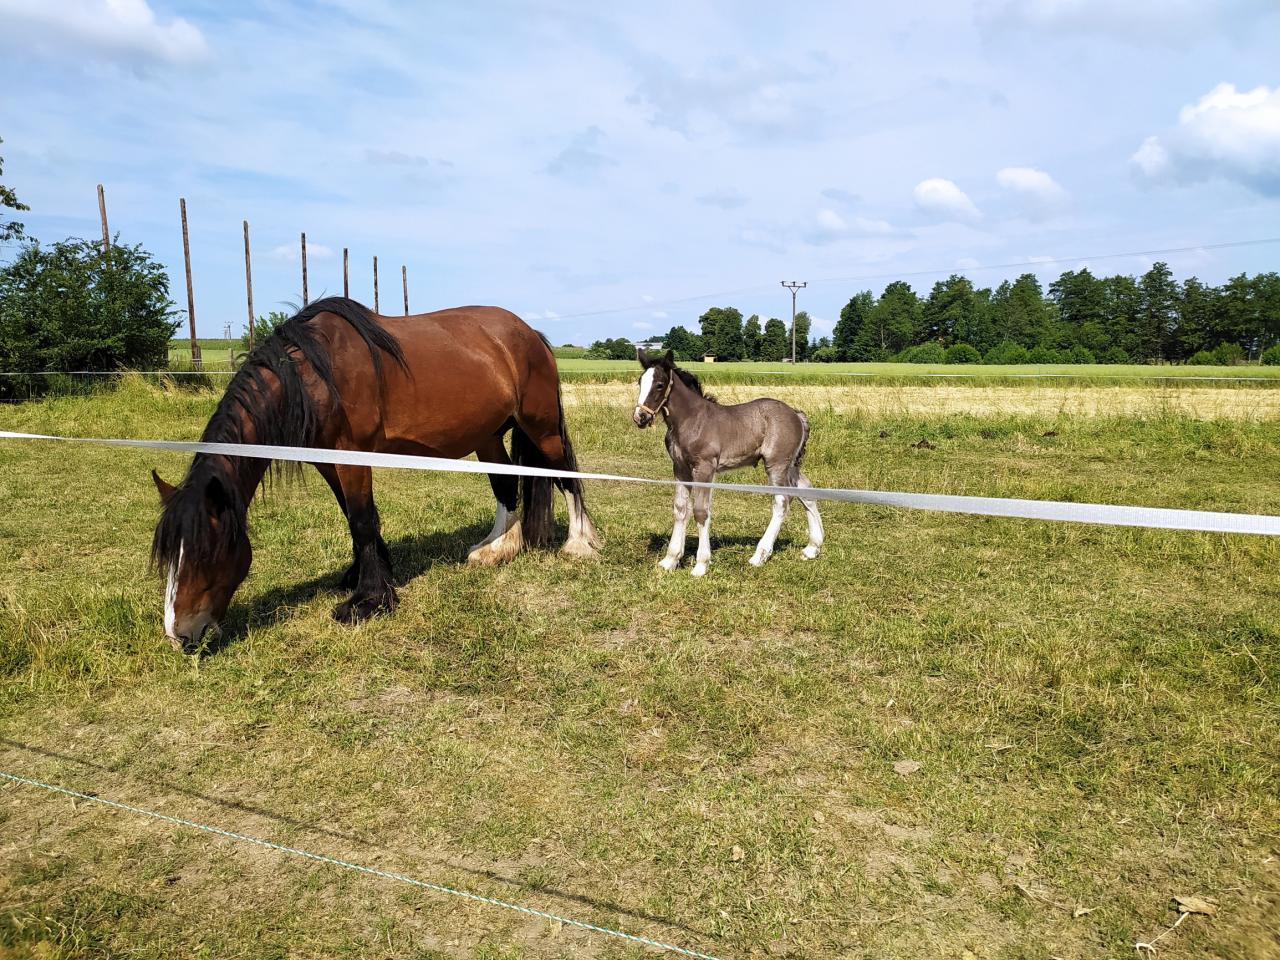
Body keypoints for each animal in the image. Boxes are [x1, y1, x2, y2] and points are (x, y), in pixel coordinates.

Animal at [152, 296, 600, 651]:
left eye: (205, 553)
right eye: (169, 556)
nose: (179, 635)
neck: (313, 375)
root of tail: (530, 334)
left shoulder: (352, 455)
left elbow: (363, 520)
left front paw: (367, 601)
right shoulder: (325, 461)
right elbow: (353, 517)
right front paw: (369, 576)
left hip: (541, 428)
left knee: (565, 476)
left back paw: (579, 544)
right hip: (488, 435)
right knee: (506, 485)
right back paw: (494, 548)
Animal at [632, 349, 822, 576]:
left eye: (660, 384)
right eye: (639, 382)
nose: (640, 417)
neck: (690, 420)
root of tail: (796, 414)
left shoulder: (705, 468)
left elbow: (700, 511)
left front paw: (701, 564)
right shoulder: (680, 468)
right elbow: (680, 509)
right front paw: (670, 560)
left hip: (776, 464)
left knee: (782, 501)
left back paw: (759, 555)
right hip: (791, 465)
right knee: (806, 490)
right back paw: (812, 548)